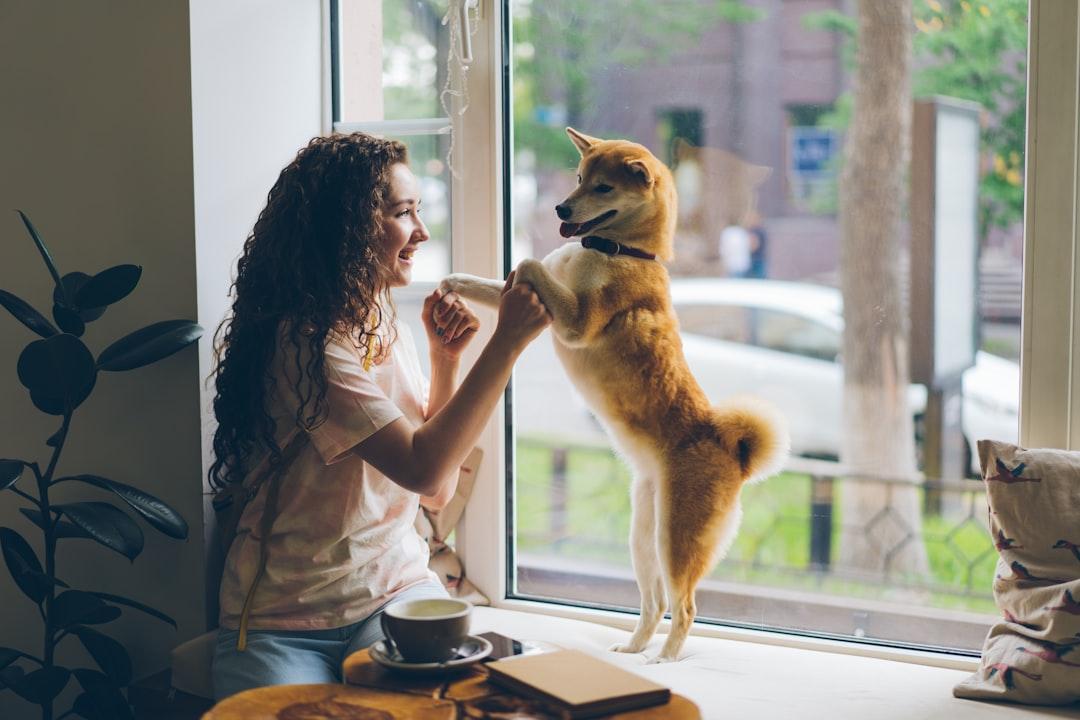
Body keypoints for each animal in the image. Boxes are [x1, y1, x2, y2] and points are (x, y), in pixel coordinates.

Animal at [436, 126, 786, 660]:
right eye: (580, 177)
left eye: (603, 188)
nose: (560, 208)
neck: (617, 251)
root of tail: (734, 451)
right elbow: (496, 282)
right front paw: (454, 281)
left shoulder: (575, 320)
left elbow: (528, 262)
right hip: (643, 537)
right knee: (654, 604)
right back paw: (633, 650)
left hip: (676, 539)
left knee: (685, 608)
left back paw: (665, 661)